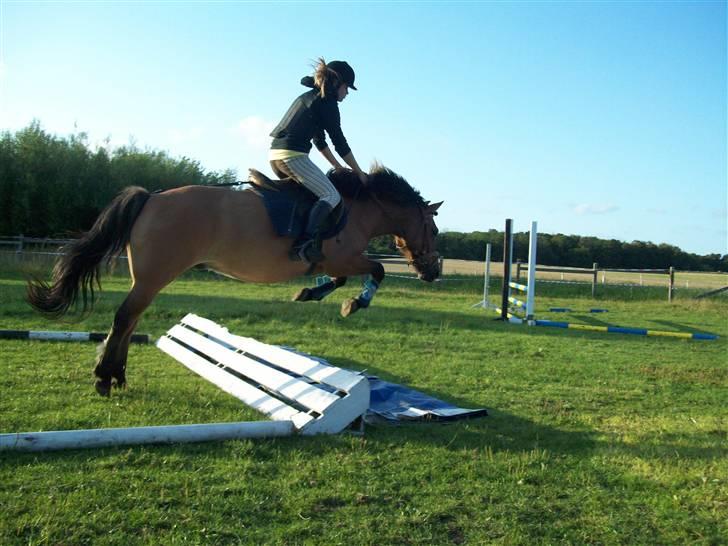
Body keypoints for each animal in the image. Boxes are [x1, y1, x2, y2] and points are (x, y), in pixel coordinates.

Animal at [25, 166, 440, 396]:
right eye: (434, 230)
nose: (432, 272)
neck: (358, 209)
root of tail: (151, 198)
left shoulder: (335, 262)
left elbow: (337, 279)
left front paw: (309, 293)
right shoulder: (345, 257)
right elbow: (377, 270)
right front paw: (353, 304)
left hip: (147, 278)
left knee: (130, 320)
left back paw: (118, 375)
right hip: (155, 275)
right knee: (125, 318)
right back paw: (104, 378)